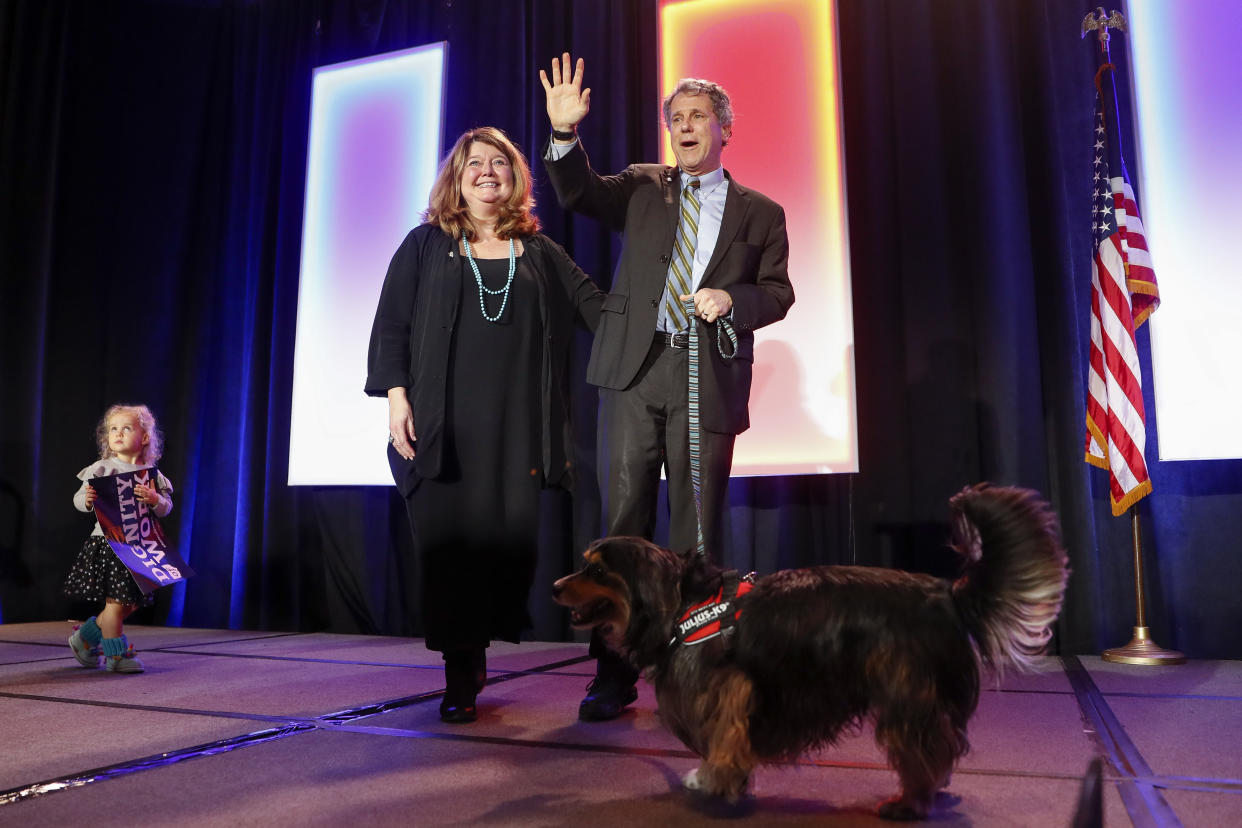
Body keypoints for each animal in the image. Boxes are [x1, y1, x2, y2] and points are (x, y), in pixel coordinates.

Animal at [553, 481, 1068, 819]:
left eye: (596, 571)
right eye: (584, 565)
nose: (556, 586)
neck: (683, 602)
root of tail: (946, 592)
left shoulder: (730, 686)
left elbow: (724, 737)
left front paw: (716, 779)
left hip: (904, 690)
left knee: (922, 750)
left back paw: (909, 802)